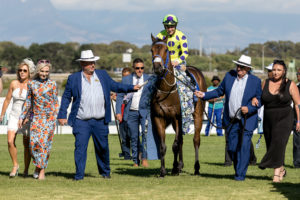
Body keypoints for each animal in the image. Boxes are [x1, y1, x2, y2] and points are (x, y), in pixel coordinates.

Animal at [150, 34, 206, 177]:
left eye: (166, 50)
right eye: (151, 50)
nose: (158, 68)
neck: (167, 90)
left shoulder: (178, 117)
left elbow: (175, 145)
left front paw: (174, 168)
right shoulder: (159, 117)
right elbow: (163, 146)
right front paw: (163, 171)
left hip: (197, 114)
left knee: (196, 140)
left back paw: (196, 168)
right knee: (181, 141)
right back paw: (180, 166)